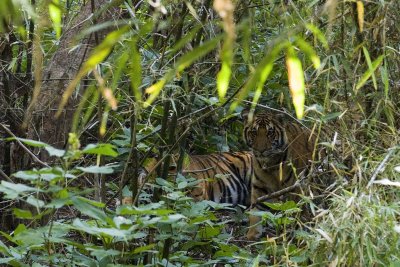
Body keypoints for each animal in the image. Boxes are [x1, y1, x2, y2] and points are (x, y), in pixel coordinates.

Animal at [242, 109, 320, 241]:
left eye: (270, 132)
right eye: (254, 132)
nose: (261, 150)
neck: (270, 164)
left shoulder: (294, 188)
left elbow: (293, 210)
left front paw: (292, 233)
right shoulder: (259, 187)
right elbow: (255, 212)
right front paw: (252, 233)